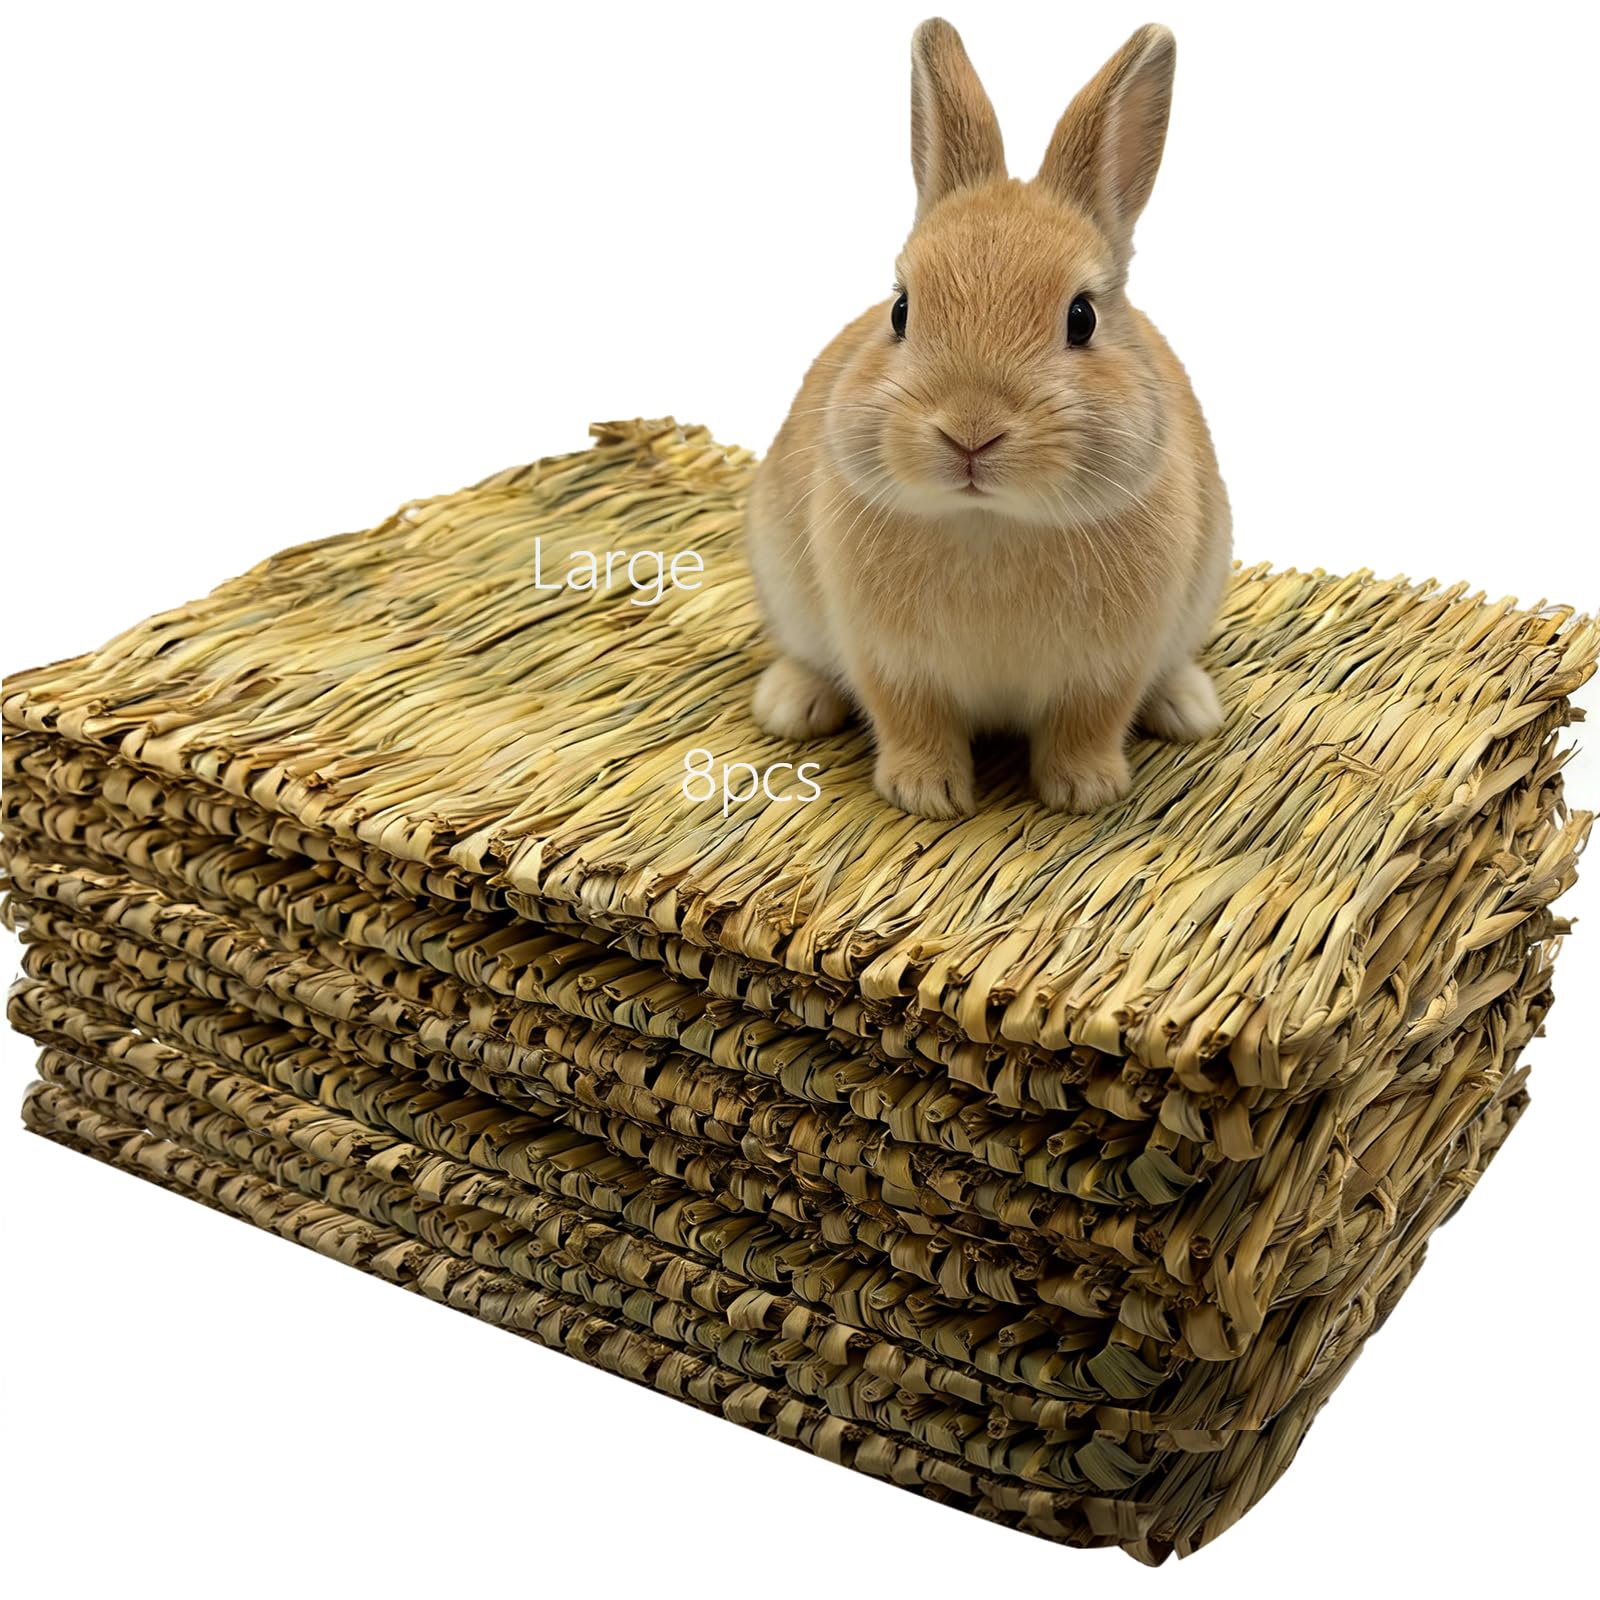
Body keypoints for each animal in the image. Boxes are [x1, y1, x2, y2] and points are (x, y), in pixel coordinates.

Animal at [745, 17, 1232, 819]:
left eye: (1082, 317)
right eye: (900, 310)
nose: (970, 430)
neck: (990, 520)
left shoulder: (1108, 667)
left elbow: (1089, 722)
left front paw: (1084, 791)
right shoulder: (890, 661)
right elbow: (910, 719)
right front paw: (926, 794)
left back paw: (1189, 708)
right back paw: (790, 705)